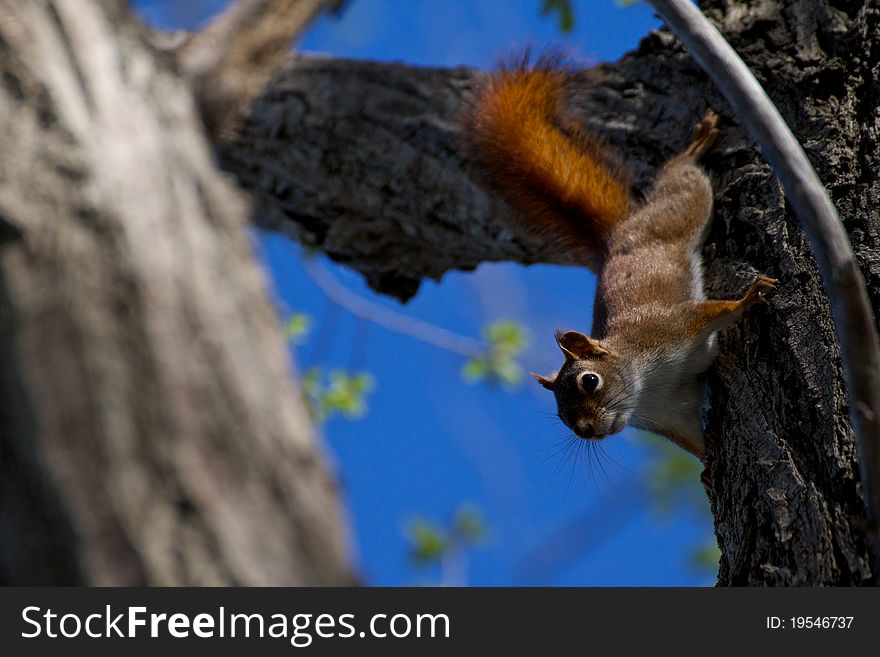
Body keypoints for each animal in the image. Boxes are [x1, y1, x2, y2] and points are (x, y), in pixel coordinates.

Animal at [464, 59, 772, 458]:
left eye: (589, 381)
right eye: (561, 415)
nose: (584, 430)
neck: (646, 387)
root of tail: (619, 234)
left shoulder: (672, 325)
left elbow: (716, 311)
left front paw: (749, 297)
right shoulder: (674, 417)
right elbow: (697, 444)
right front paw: (708, 464)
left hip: (680, 210)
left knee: (683, 181)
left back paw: (694, 147)